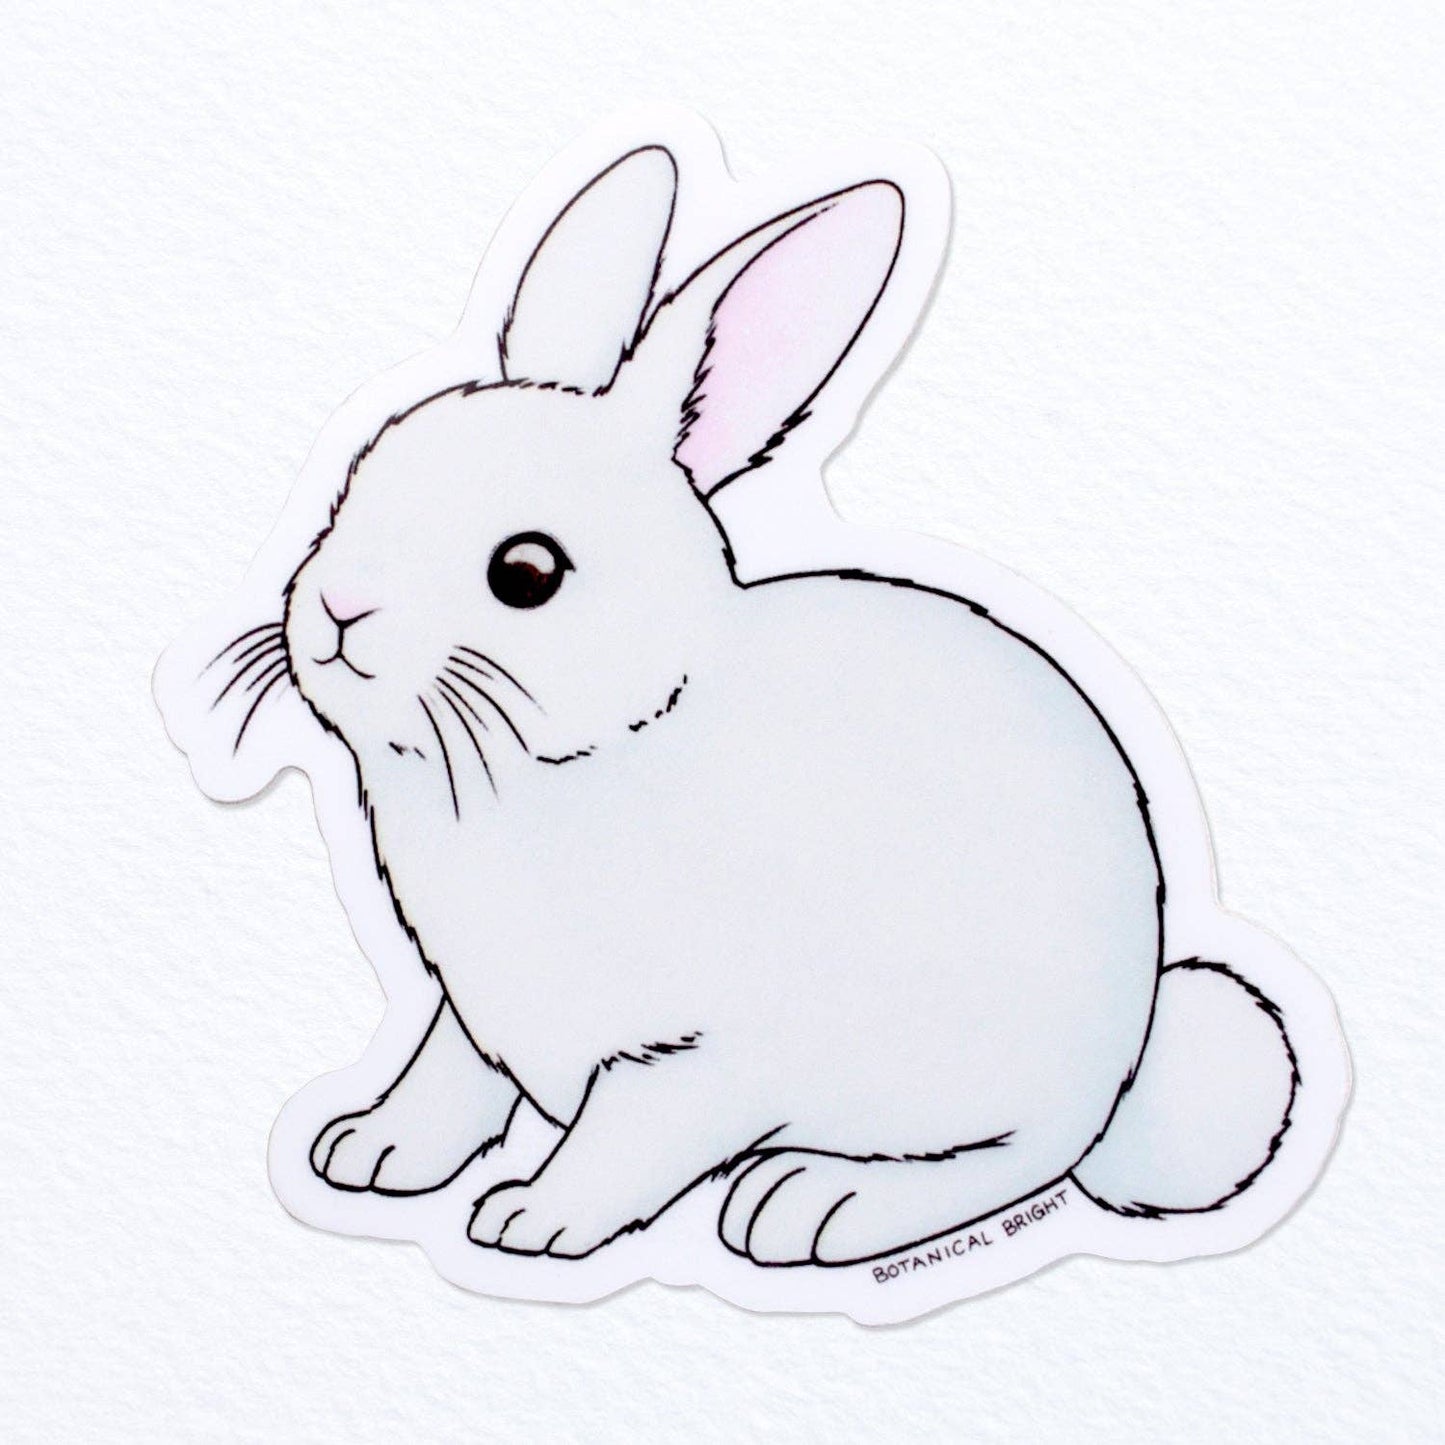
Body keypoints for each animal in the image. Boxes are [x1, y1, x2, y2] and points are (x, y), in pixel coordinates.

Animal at [217, 144, 1298, 1267]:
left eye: (525, 571)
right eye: (351, 486)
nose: (336, 611)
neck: (590, 755)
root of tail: (1134, 1048)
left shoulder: (689, 1059)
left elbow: (624, 1139)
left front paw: (530, 1218)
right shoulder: (465, 1010)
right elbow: (443, 1080)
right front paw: (366, 1151)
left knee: (1016, 1159)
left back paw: (815, 1202)